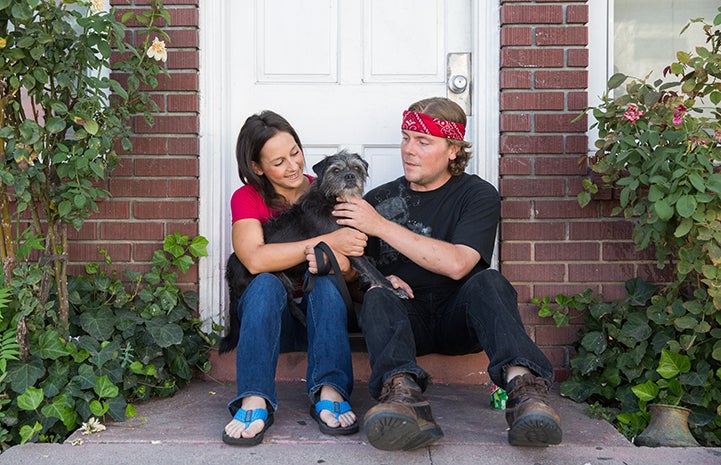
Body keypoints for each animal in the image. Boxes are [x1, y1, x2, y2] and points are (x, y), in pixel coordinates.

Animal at [217, 150, 408, 354]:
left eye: (356, 168)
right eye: (336, 170)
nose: (350, 176)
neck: (332, 199)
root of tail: (230, 274)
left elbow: (370, 262)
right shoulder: (347, 244)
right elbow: (373, 270)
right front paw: (393, 288)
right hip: (274, 277)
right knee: (288, 303)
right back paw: (304, 320)